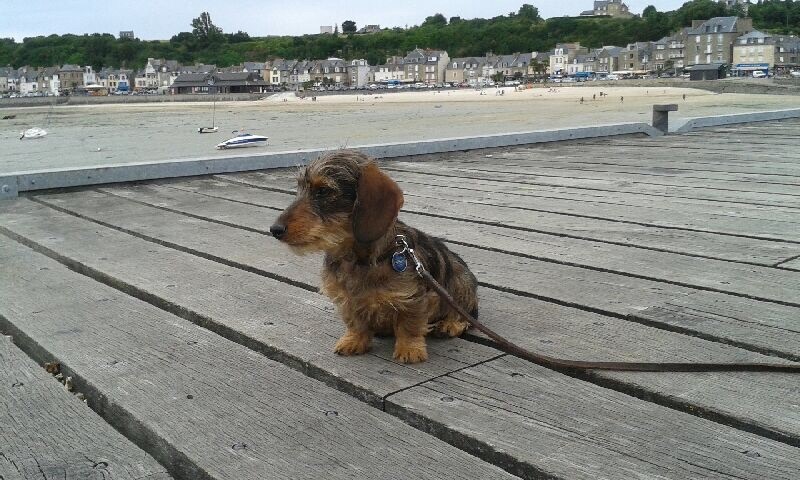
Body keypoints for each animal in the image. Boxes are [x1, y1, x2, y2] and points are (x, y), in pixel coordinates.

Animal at [270, 150, 478, 363]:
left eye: (323, 191)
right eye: (299, 189)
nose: (275, 230)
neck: (357, 259)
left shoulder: (414, 297)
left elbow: (410, 324)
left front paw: (410, 349)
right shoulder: (348, 300)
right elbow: (355, 322)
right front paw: (353, 341)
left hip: (460, 284)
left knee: (467, 314)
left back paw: (450, 325)